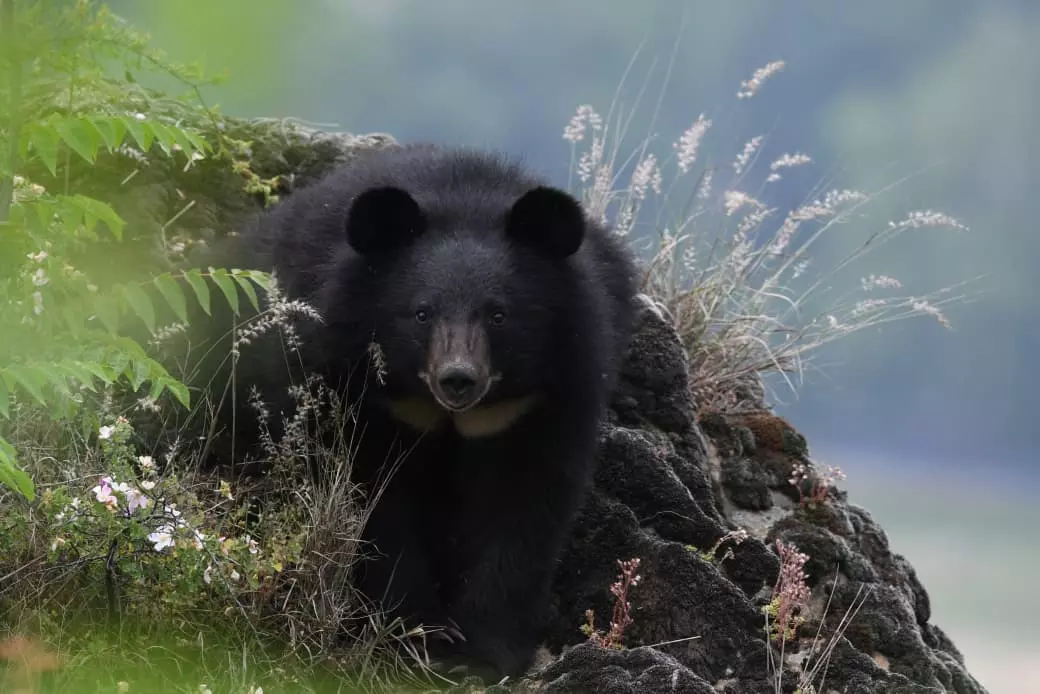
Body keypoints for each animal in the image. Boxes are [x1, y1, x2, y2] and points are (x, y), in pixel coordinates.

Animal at [188, 143, 640, 680]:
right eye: (422, 313)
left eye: (498, 314)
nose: (458, 378)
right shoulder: (362, 390)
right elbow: (378, 503)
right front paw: (409, 637)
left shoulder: (542, 398)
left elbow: (522, 509)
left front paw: (480, 658)